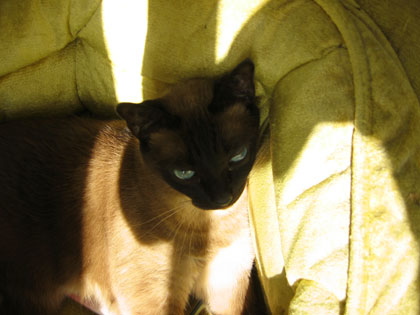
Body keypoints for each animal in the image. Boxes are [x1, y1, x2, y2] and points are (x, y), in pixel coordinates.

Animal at [0, 59, 260, 315]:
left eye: (238, 156)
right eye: (185, 174)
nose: (222, 198)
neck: (207, 228)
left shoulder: (229, 278)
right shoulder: (155, 298)